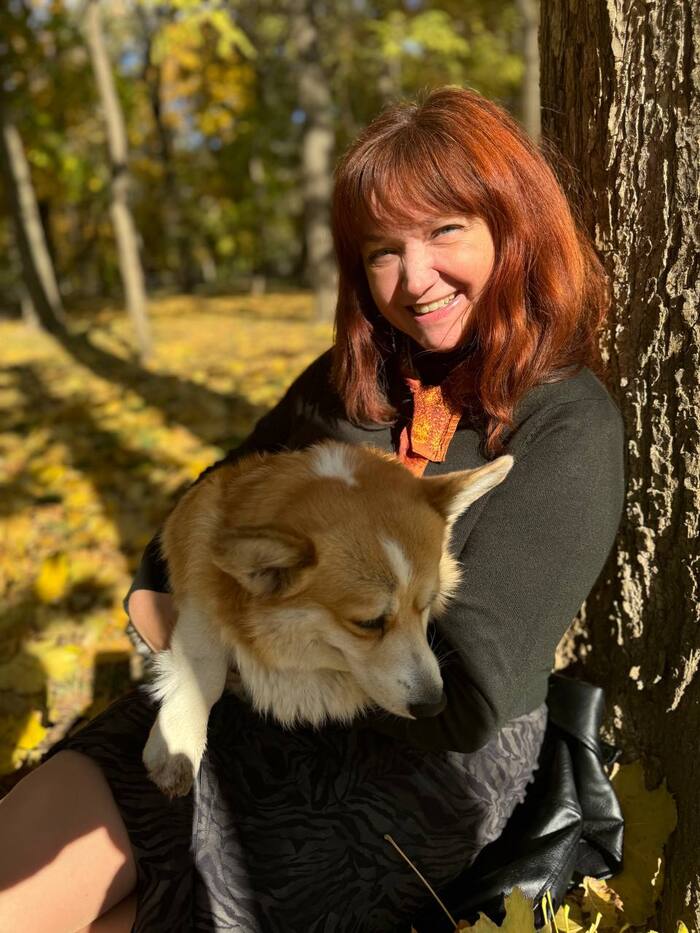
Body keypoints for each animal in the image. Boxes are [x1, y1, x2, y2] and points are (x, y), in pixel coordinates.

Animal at [142, 440, 513, 798]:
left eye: (428, 604)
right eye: (368, 623)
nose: (434, 705)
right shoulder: (198, 573)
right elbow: (204, 659)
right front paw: (179, 739)